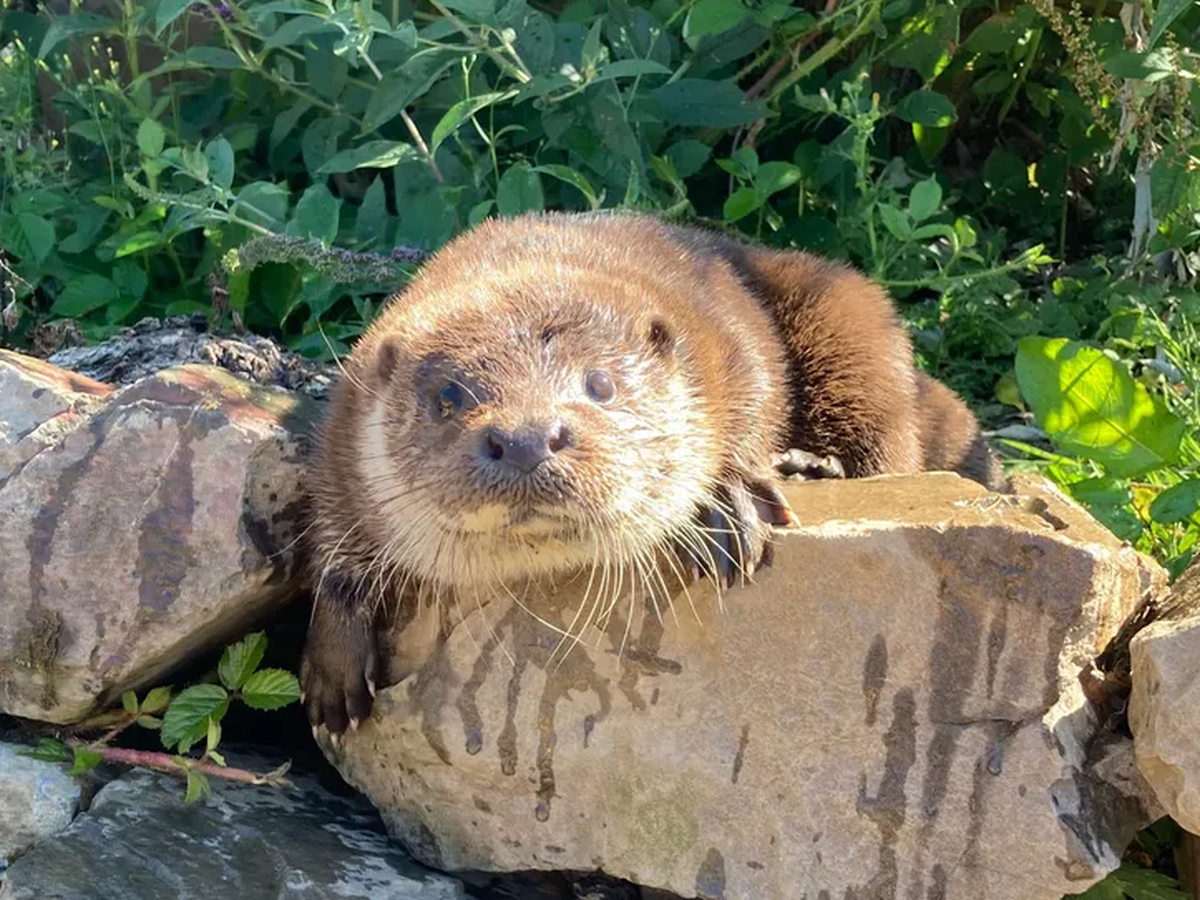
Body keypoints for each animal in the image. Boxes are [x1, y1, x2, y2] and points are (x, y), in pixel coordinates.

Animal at [300, 211, 1005, 735]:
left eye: (600, 384)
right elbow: (329, 532)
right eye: (448, 397)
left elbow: (752, 403)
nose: (527, 440)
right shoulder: (343, 429)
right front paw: (332, 660)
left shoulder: (725, 342)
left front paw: (727, 501)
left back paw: (812, 467)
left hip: (854, 324)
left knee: (888, 437)